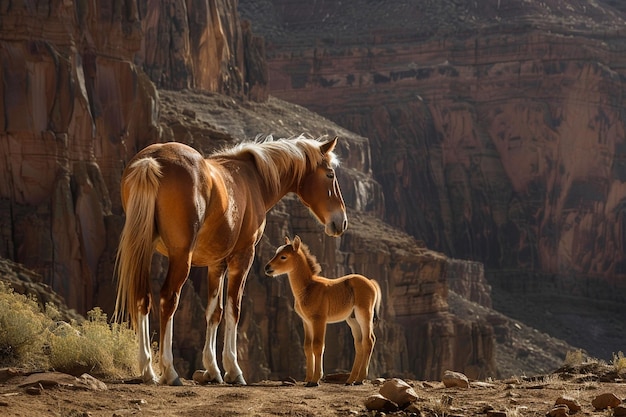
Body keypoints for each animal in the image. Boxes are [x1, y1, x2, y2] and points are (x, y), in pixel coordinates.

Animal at [112, 135, 346, 386]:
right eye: (330, 174)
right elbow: (234, 309)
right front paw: (233, 369)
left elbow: (214, 312)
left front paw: (212, 370)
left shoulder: (217, 263)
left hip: (144, 248)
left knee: (142, 298)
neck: (255, 178)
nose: (340, 222)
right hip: (181, 256)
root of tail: (152, 159)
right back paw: (169, 371)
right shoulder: (243, 256)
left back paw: (148, 370)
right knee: (168, 299)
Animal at [260, 236, 378, 386]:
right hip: (352, 320)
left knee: (369, 340)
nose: (267, 268)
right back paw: (351, 380)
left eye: (283, 256)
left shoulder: (319, 320)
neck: (309, 288)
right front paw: (308, 379)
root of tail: (371, 282)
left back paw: (360, 379)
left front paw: (315, 380)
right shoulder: (306, 321)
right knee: (359, 344)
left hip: (364, 314)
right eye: (276, 252)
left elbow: (317, 345)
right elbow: (307, 347)